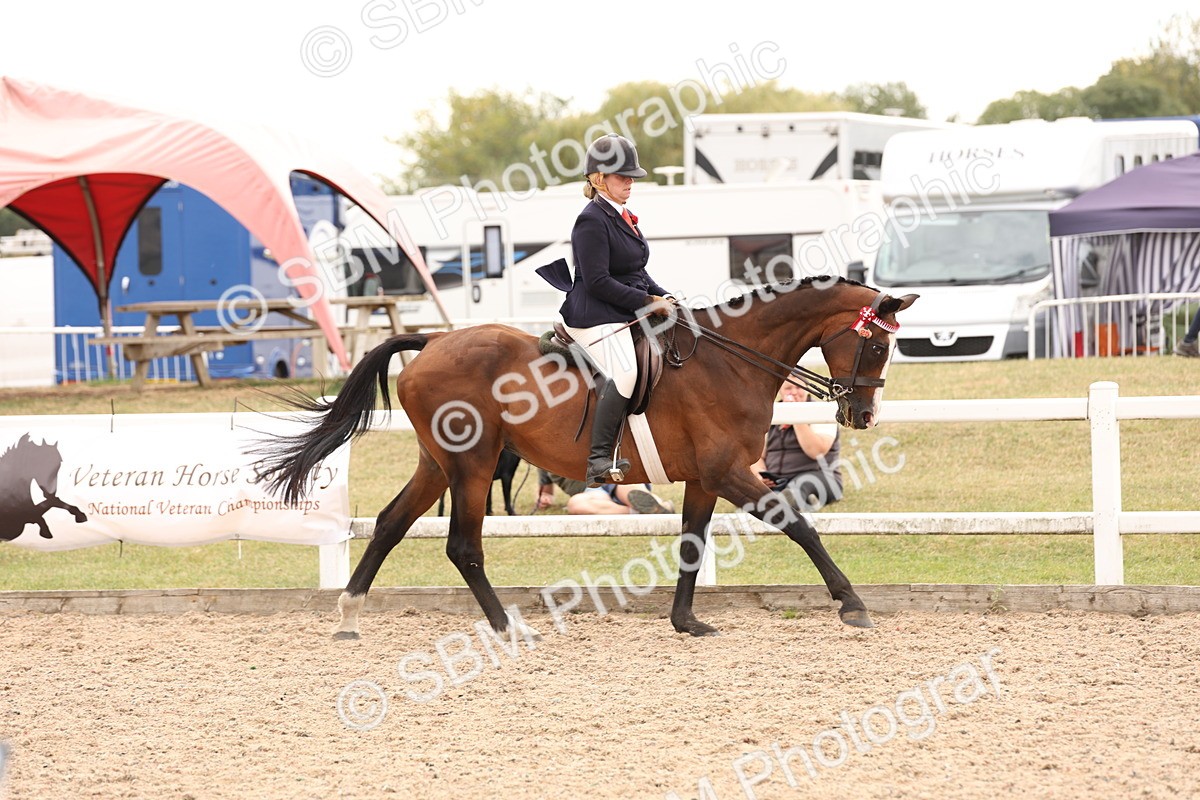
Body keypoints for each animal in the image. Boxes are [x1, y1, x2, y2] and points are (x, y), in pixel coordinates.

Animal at [255, 277, 916, 639]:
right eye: (876, 345)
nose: (862, 416)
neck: (731, 359)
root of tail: (434, 341)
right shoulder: (729, 472)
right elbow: (800, 525)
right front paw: (852, 605)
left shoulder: (706, 478)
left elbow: (691, 544)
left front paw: (686, 622)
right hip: (472, 465)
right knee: (463, 546)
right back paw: (506, 627)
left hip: (437, 464)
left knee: (392, 524)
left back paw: (349, 616)